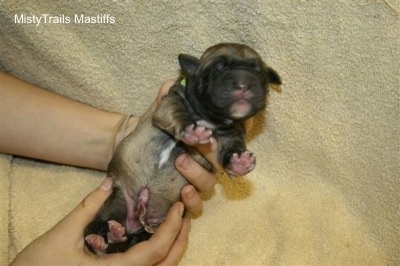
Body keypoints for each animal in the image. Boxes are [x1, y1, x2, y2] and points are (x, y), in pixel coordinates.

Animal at [84, 42, 282, 255]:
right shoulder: (170, 102)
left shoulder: (232, 134)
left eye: (259, 73)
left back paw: (115, 235)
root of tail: (134, 222)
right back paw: (100, 238)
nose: (244, 82)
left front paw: (239, 163)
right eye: (215, 70)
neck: (211, 118)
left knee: (123, 243)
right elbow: (178, 113)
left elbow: (233, 147)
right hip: (116, 201)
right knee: (99, 235)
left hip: (144, 228)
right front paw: (192, 131)